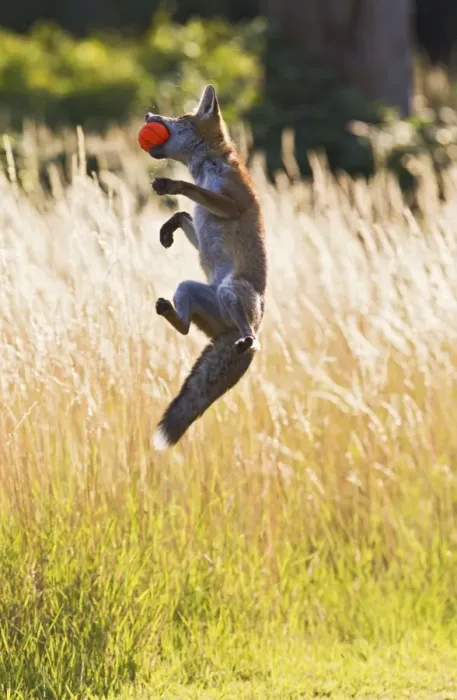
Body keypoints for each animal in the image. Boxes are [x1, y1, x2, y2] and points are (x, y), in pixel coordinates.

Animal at [145, 84, 267, 449]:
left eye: (179, 118)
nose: (148, 114)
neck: (208, 168)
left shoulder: (230, 203)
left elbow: (192, 193)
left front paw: (173, 186)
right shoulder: (200, 227)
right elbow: (183, 214)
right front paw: (167, 230)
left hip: (231, 291)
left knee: (252, 338)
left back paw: (247, 340)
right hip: (189, 289)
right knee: (185, 328)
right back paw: (170, 313)